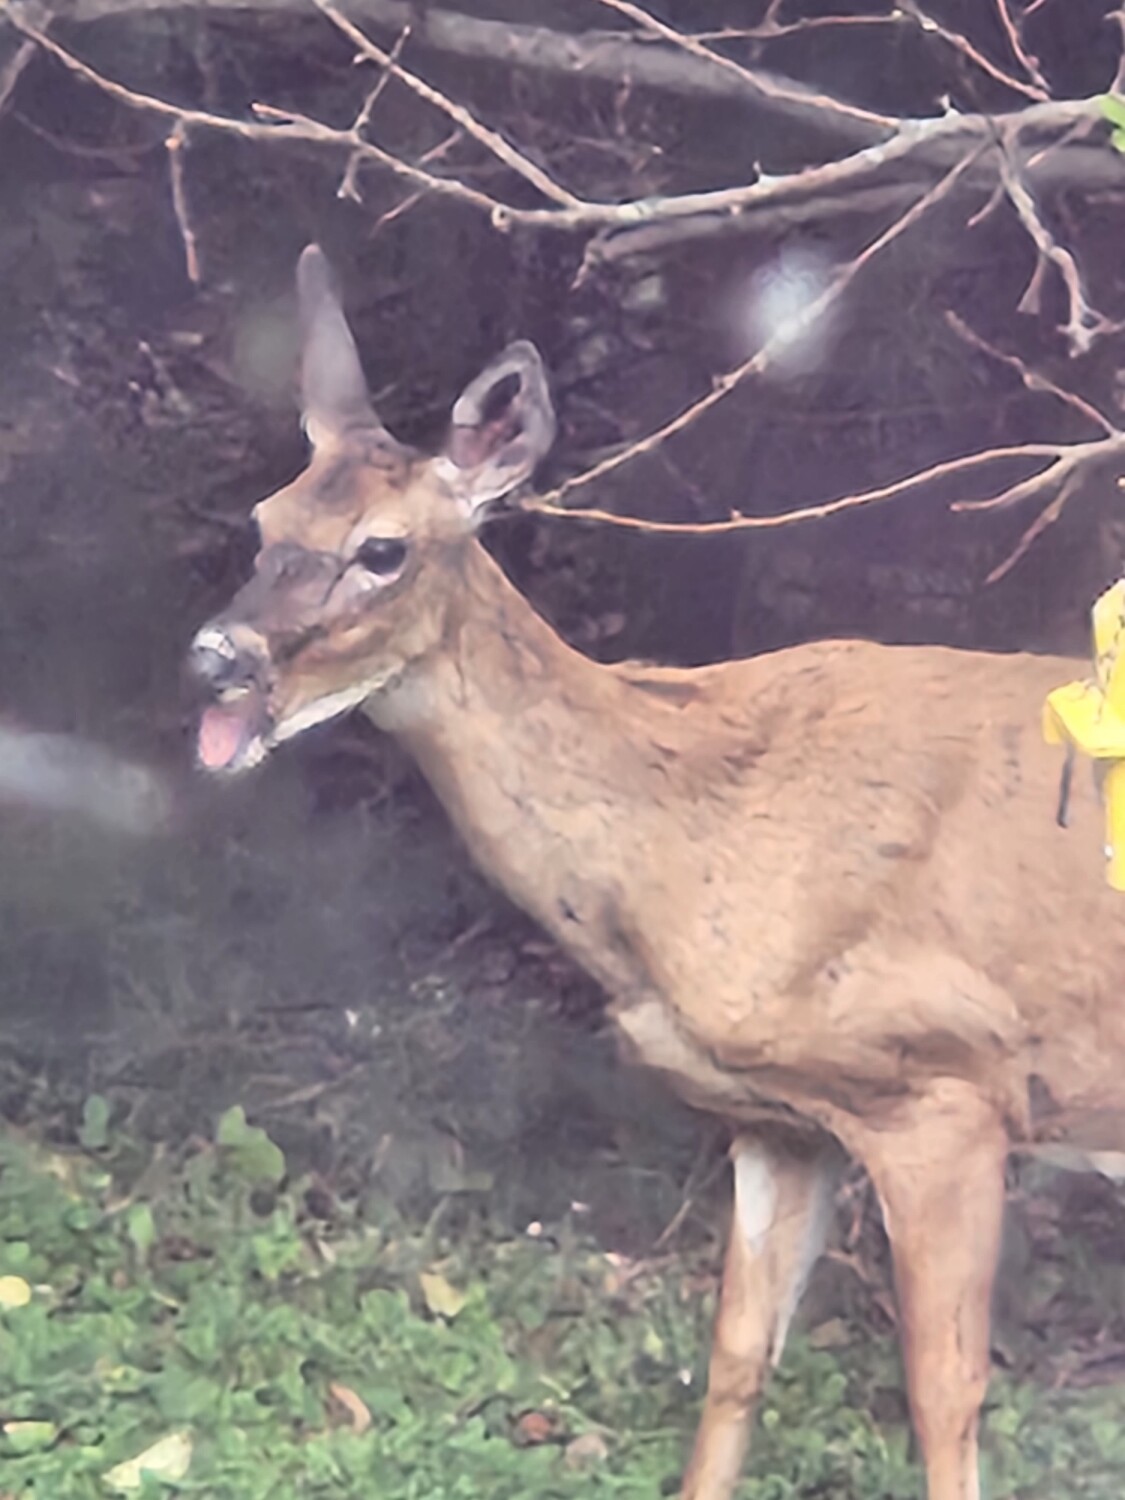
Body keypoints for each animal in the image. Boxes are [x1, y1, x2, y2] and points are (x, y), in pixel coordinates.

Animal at [187, 244, 1125, 1500]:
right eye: (264, 519)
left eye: (383, 549)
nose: (215, 661)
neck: (684, 840)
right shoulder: (777, 1121)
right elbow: (736, 1358)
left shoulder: (944, 1085)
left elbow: (944, 1397)